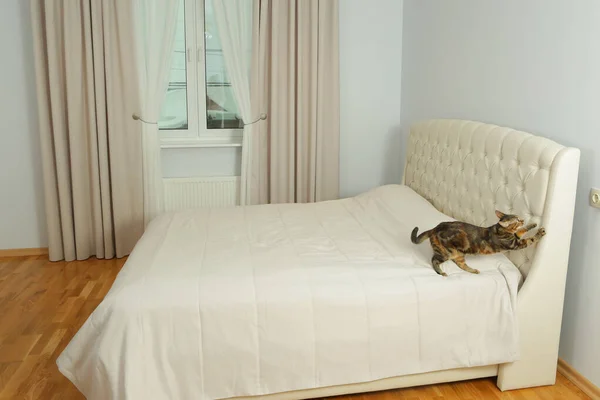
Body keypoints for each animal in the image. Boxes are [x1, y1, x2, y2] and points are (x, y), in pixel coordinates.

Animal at [410, 209, 548, 278]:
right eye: (517, 220)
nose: (523, 219)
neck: (499, 229)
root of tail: (434, 228)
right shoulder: (515, 244)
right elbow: (530, 239)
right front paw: (539, 232)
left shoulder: (516, 236)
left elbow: (522, 231)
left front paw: (532, 224)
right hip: (445, 253)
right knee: (434, 260)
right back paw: (441, 272)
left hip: (458, 253)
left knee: (460, 264)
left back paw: (473, 270)